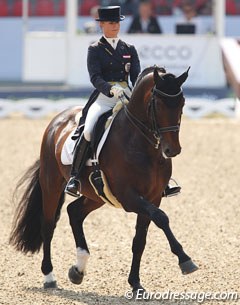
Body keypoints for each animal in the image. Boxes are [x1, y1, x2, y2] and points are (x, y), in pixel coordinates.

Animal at [9, 66, 198, 292]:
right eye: (158, 104)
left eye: (182, 103)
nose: (172, 150)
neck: (141, 144)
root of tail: (58, 119)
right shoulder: (129, 197)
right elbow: (161, 218)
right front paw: (185, 259)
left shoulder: (153, 197)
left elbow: (140, 240)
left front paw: (135, 283)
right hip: (51, 183)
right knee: (48, 226)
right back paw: (49, 277)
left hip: (96, 195)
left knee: (74, 212)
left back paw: (78, 269)